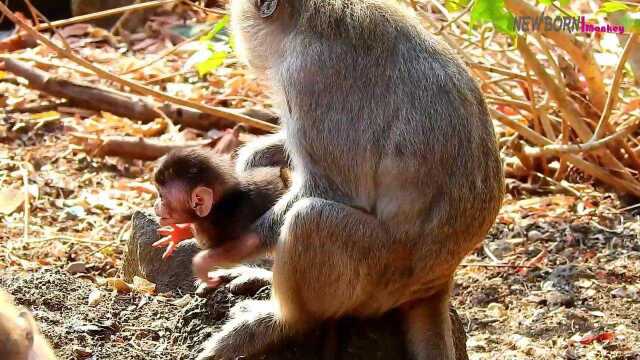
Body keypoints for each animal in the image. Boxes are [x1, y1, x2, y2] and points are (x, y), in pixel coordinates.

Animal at [192, 0, 502, 360]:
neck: (302, 25)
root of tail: (437, 282)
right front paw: (256, 156)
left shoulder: (311, 77)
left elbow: (336, 189)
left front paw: (230, 249)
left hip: (377, 278)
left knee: (311, 219)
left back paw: (283, 320)